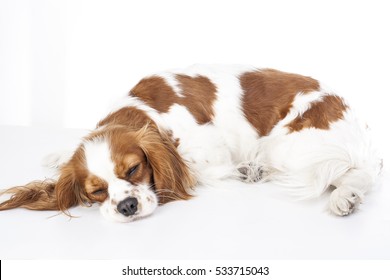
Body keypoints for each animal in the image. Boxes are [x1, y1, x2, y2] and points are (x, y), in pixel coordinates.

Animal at [0, 64, 382, 222]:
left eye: (134, 169)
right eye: (96, 191)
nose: (127, 207)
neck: (140, 112)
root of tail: (359, 124)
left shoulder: (210, 150)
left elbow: (195, 167)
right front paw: (59, 154)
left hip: (290, 147)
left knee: (359, 172)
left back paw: (344, 197)